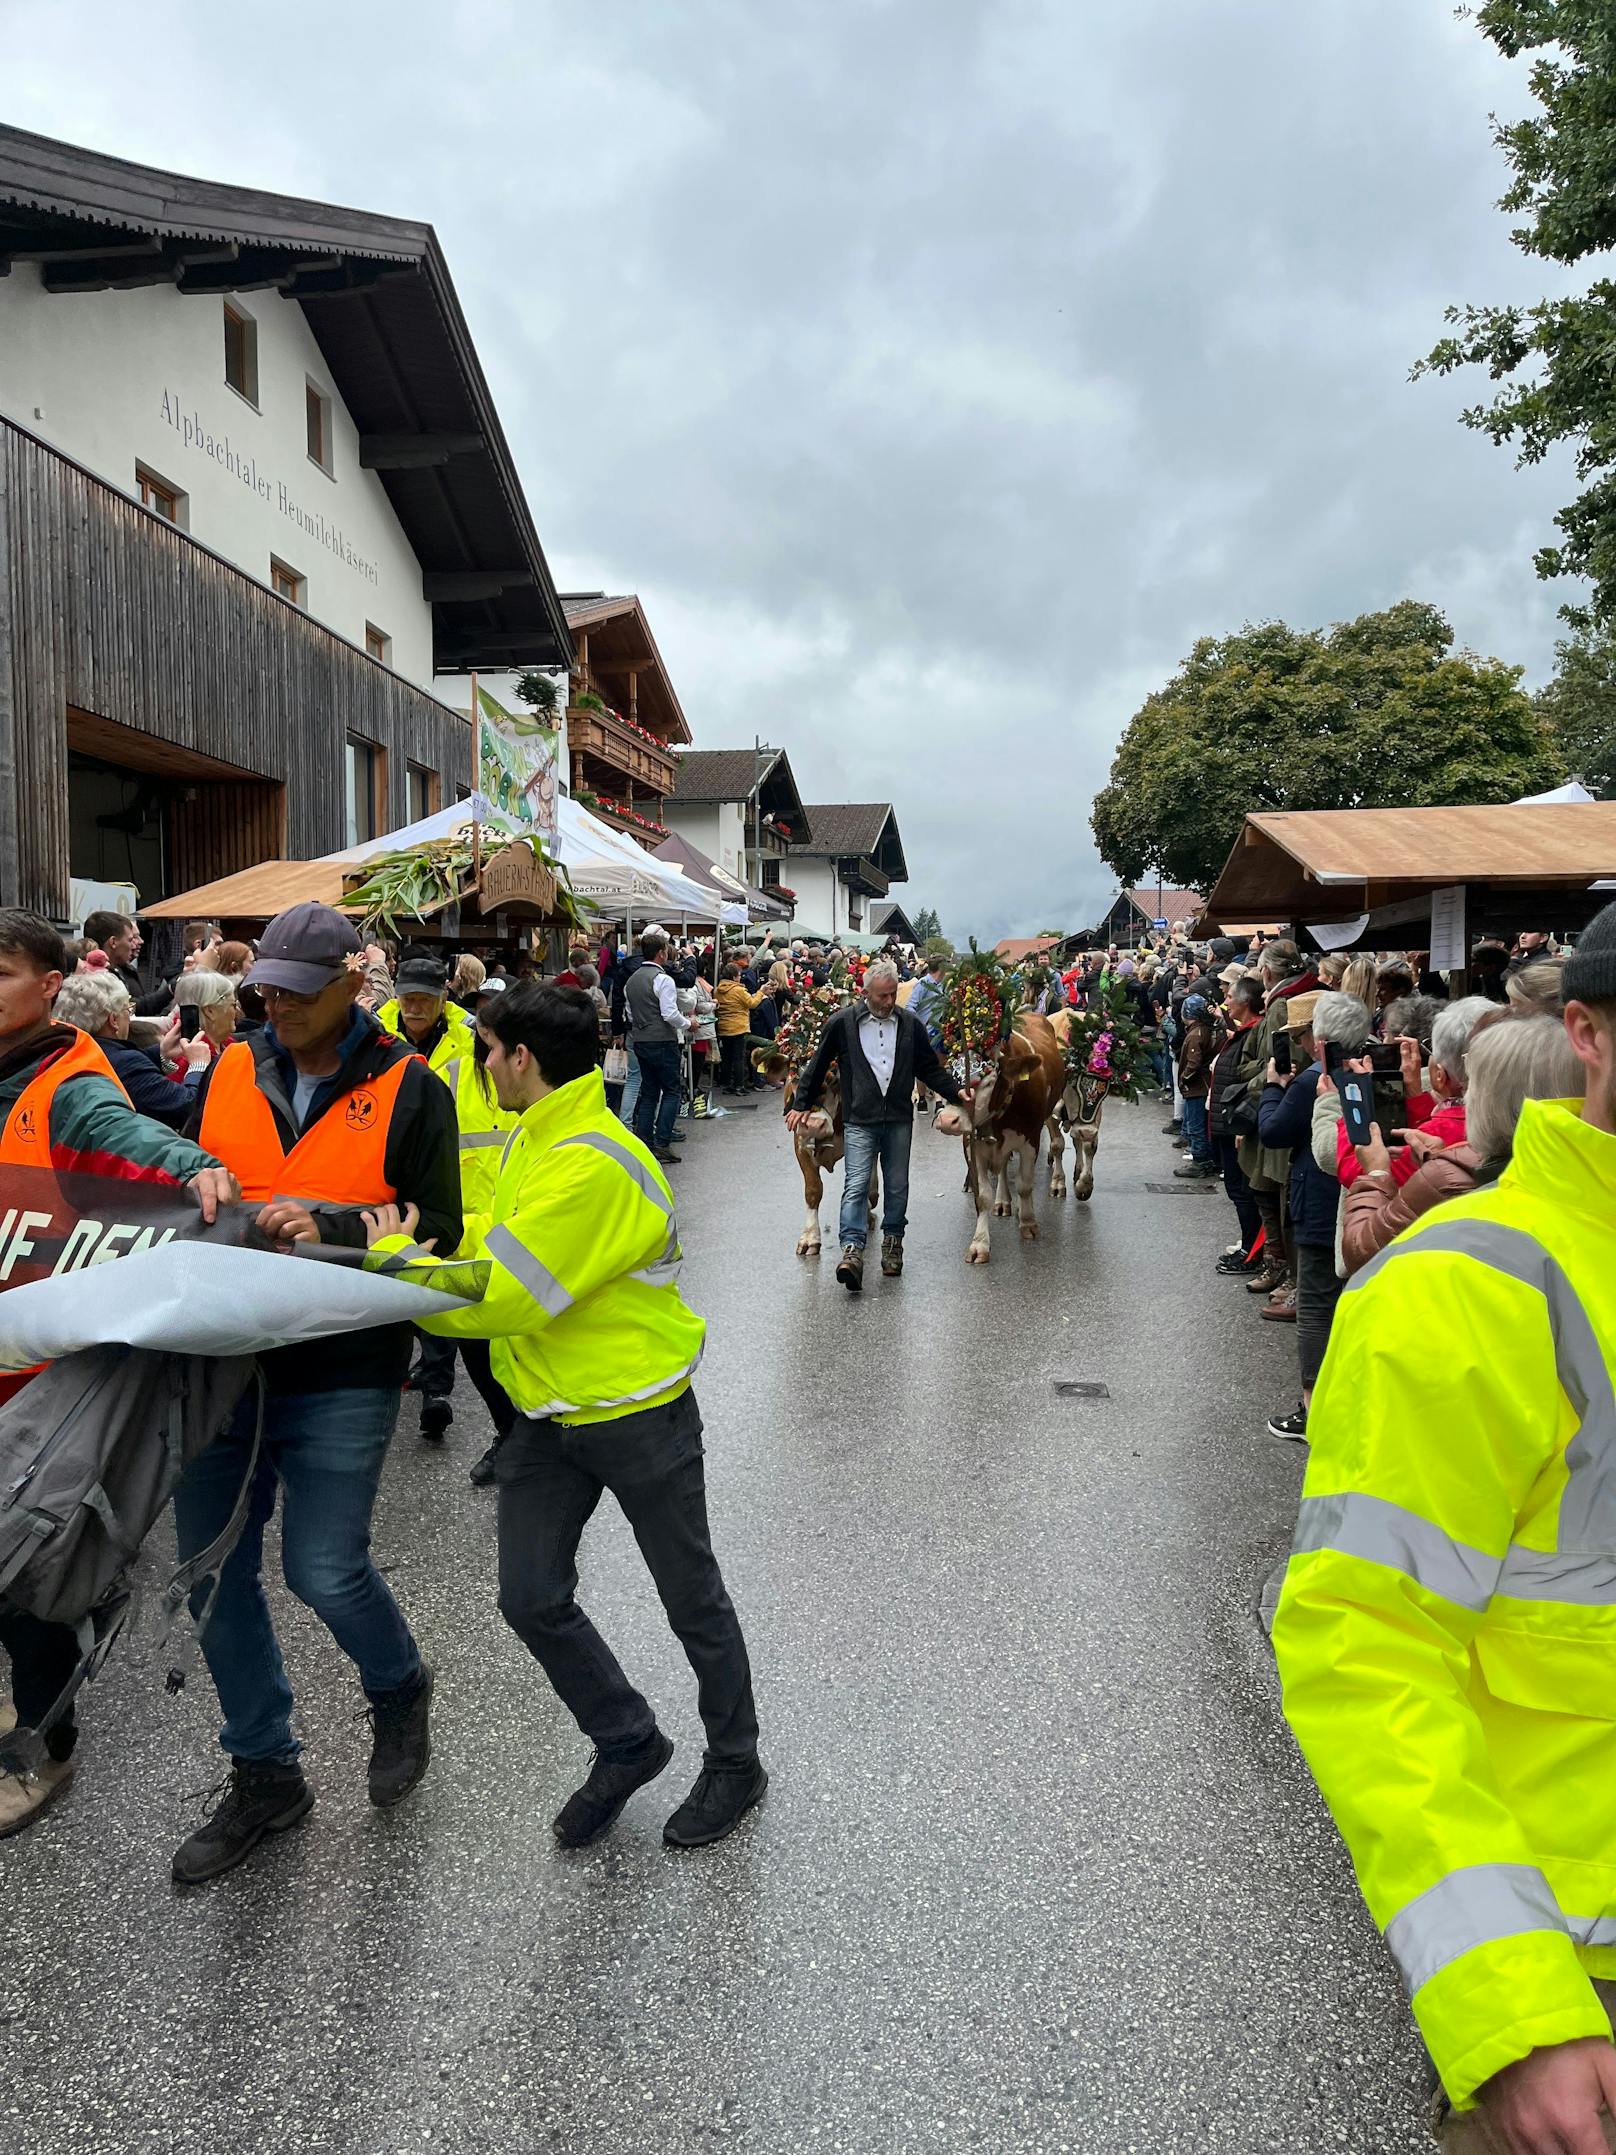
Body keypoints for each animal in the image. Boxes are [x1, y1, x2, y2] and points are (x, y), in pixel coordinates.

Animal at [943, 1012, 1068, 1258]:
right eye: (947, 1071)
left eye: (989, 1081)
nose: (947, 1120)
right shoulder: (972, 1146)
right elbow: (982, 1196)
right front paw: (980, 1243)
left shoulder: (1031, 1140)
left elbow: (1025, 1185)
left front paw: (1028, 1223)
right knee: (1001, 1169)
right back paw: (1002, 1201)